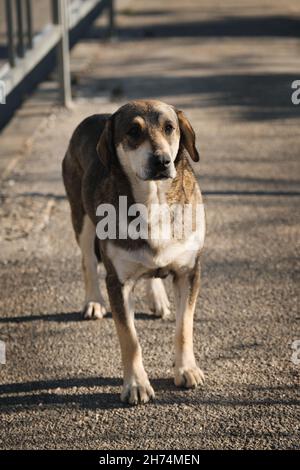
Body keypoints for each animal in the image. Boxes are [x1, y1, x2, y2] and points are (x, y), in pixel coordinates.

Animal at [62, 101, 205, 406]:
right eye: (133, 131)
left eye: (169, 128)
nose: (162, 161)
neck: (154, 203)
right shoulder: (118, 282)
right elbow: (129, 338)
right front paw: (136, 385)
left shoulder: (189, 272)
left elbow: (184, 327)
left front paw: (186, 369)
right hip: (81, 218)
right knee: (88, 261)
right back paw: (93, 302)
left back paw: (158, 298)